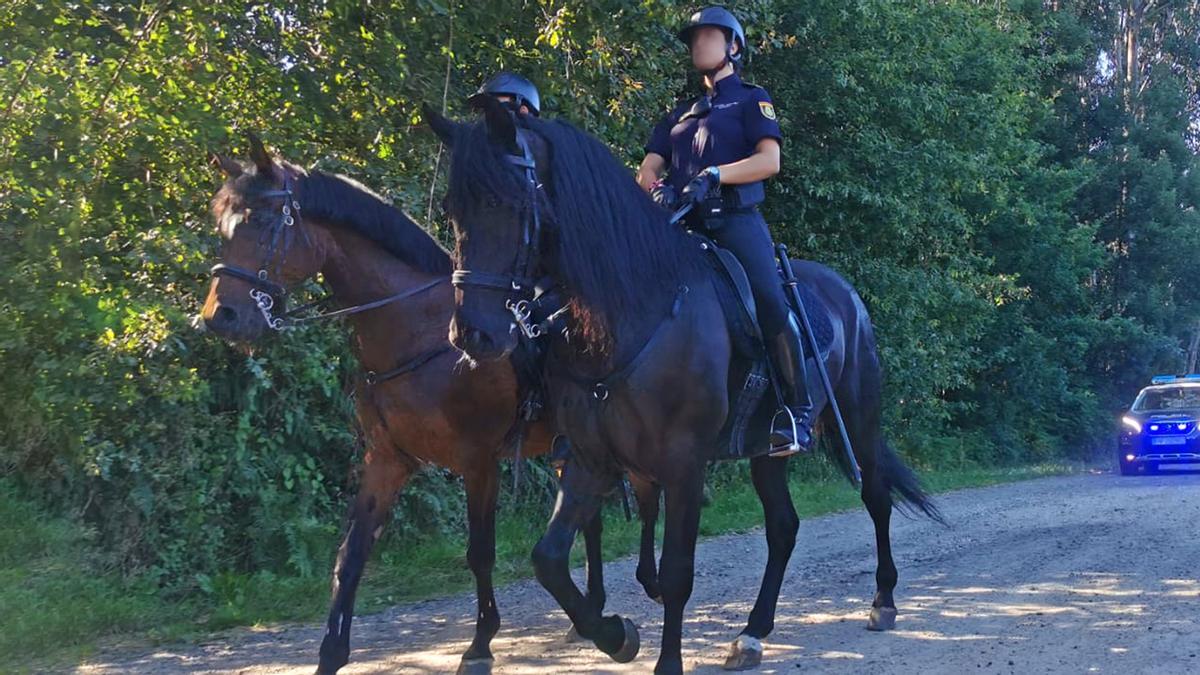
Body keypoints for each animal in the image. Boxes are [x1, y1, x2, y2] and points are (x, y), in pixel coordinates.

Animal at [196, 138, 628, 672]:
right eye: (223, 225)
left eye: (261, 220)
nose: (220, 316)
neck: (417, 329)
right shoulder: (386, 459)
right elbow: (350, 555)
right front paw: (331, 653)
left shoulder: (479, 462)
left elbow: (479, 552)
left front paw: (480, 643)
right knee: (591, 518)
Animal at [427, 96, 940, 672]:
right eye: (452, 209)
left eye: (505, 202)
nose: (472, 333)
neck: (631, 313)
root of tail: (845, 293)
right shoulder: (590, 459)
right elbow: (549, 560)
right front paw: (614, 634)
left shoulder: (683, 464)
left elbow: (675, 573)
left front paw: (662, 657)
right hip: (765, 451)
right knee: (784, 527)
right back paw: (753, 632)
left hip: (858, 418)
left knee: (875, 495)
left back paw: (883, 601)